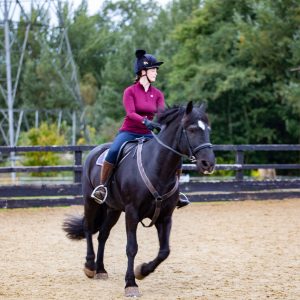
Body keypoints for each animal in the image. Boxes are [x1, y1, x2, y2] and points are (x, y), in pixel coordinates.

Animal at [62, 101, 214, 298]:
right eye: (192, 129)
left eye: (208, 129)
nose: (208, 163)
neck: (157, 168)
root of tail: (95, 151)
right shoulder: (132, 213)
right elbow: (131, 248)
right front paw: (130, 284)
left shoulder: (164, 217)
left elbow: (164, 251)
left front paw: (142, 271)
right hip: (91, 202)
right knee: (88, 229)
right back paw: (89, 266)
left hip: (113, 210)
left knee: (103, 235)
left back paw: (101, 270)